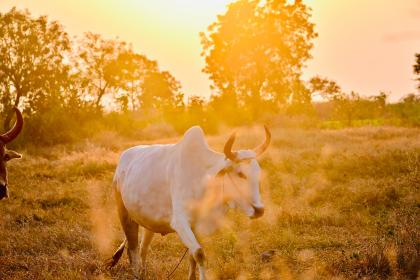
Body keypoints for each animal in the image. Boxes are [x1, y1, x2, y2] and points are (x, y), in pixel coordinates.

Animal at [108, 126, 270, 278]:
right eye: (240, 174)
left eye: (258, 172)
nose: (259, 210)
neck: (203, 180)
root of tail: (123, 159)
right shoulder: (180, 222)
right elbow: (199, 254)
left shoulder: (197, 226)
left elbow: (192, 256)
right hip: (124, 215)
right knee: (133, 249)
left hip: (148, 222)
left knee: (143, 249)